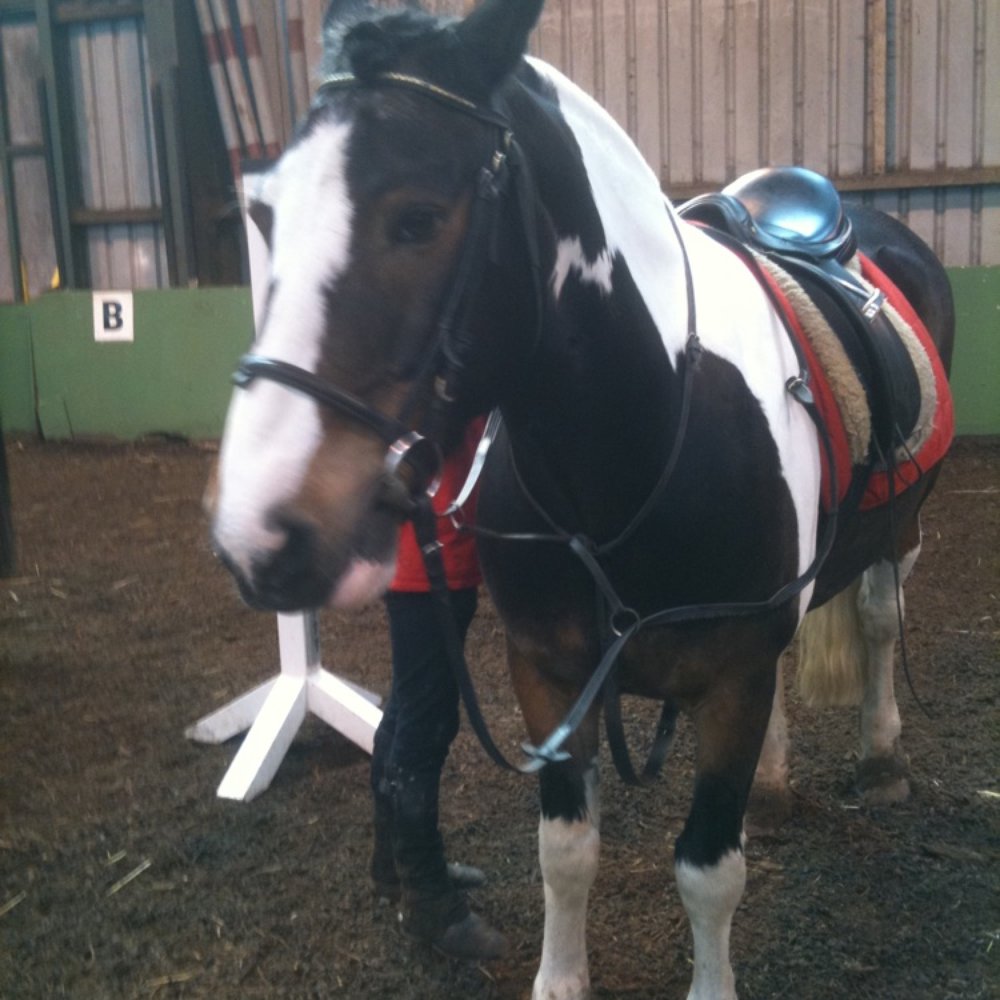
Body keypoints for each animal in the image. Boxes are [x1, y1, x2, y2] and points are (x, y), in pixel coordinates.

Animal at [207, 1, 955, 997]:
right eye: (264, 215)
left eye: (419, 217)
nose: (258, 533)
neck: (641, 447)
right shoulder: (551, 673)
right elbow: (564, 849)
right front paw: (560, 978)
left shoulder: (732, 674)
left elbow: (708, 869)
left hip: (902, 531)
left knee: (876, 621)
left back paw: (881, 759)